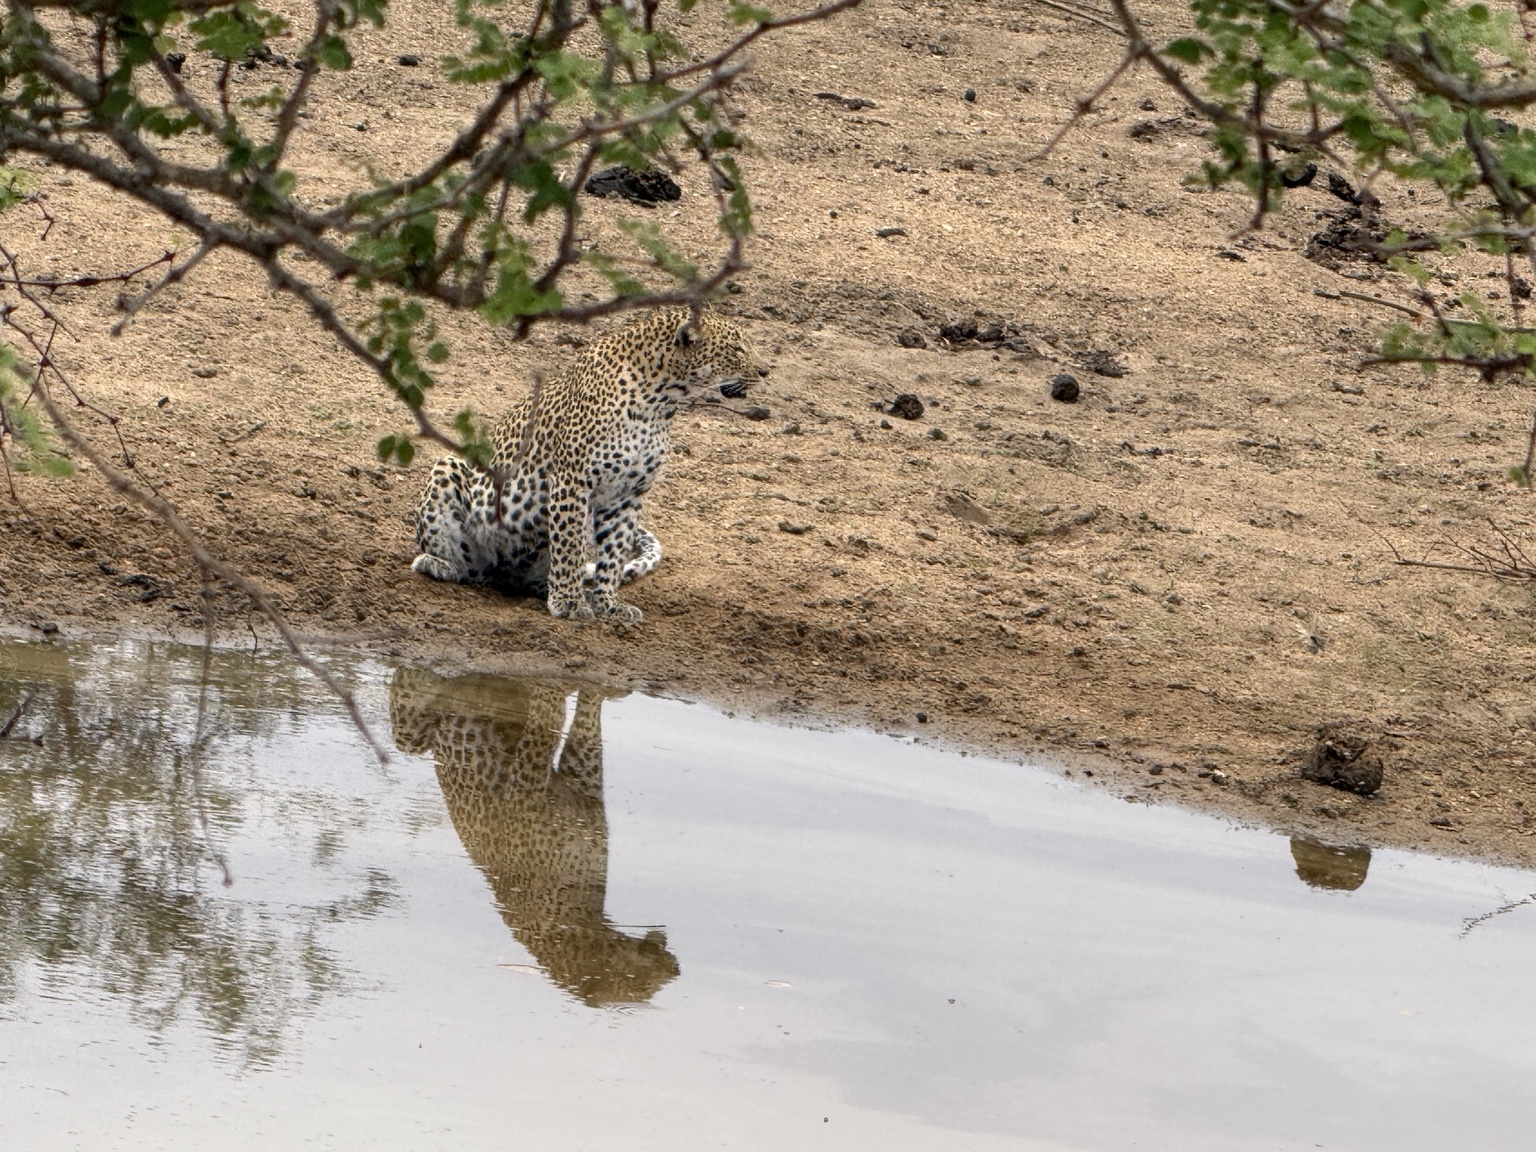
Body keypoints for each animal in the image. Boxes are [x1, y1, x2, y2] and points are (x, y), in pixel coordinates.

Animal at [388, 666, 680, 1007]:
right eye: (642, 988)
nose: (676, 970)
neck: (588, 928)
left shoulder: (582, 782)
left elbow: (586, 722)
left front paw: (599, 690)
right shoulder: (528, 778)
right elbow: (548, 722)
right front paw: (553, 690)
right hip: (408, 737)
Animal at [409, 307, 765, 623]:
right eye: (737, 348)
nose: (765, 372)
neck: (660, 402)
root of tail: (501, 574)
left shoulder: (626, 495)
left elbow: (613, 553)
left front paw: (608, 604)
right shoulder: (572, 480)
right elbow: (569, 546)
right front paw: (569, 603)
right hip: (450, 467)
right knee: (467, 567)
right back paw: (439, 564)